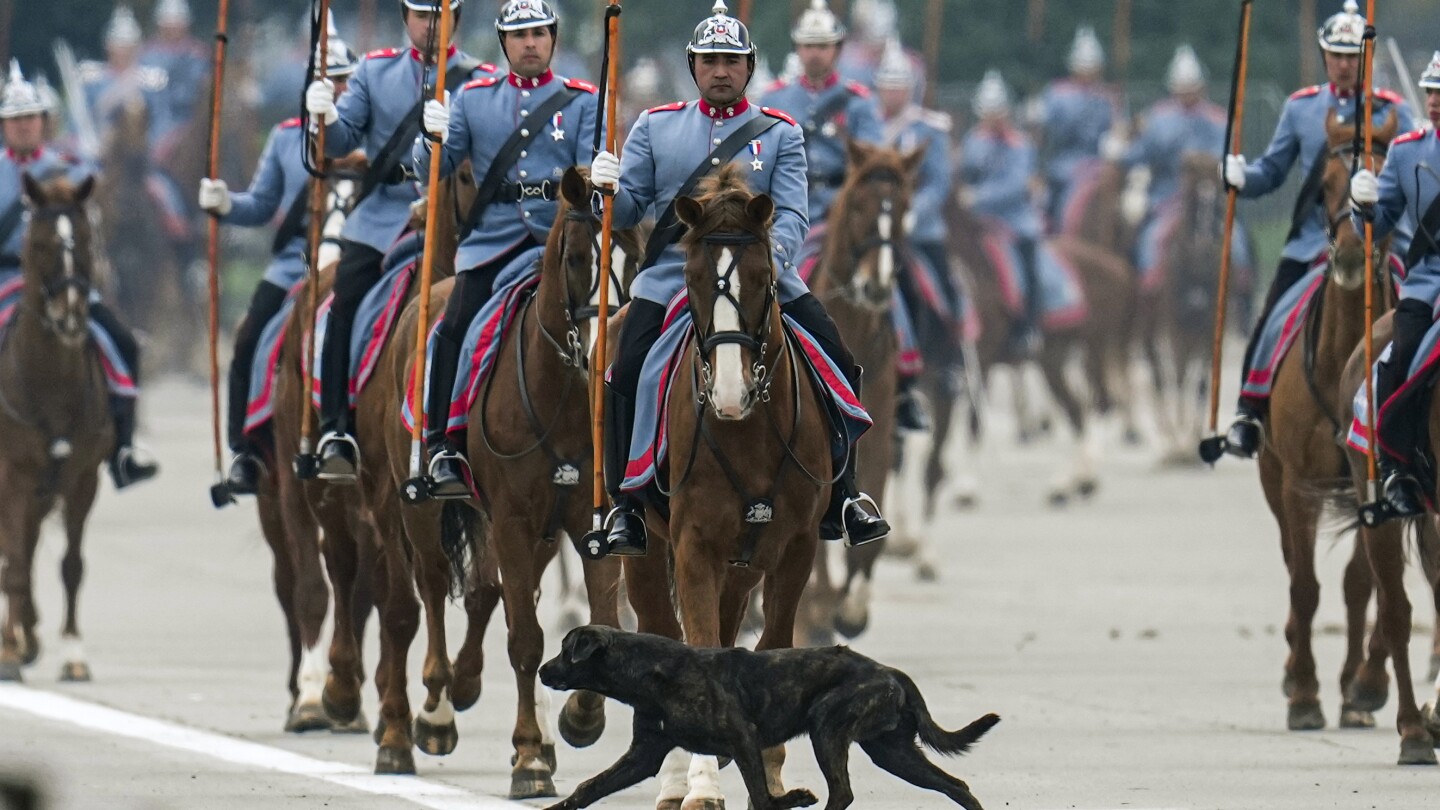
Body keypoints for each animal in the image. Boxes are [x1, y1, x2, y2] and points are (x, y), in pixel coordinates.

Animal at [535, 625, 996, 807]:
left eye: (566, 650)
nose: (540, 671)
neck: (651, 672)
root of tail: (890, 672)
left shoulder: (743, 740)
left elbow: (760, 796)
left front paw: (790, 800)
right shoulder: (642, 757)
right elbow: (589, 788)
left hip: (828, 728)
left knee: (842, 793)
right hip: (893, 753)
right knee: (955, 785)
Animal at [607, 165, 835, 807]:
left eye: (763, 277)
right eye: (691, 278)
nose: (730, 395)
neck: (748, 432)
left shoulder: (794, 548)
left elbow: (774, 641)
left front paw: (771, 769)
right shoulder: (693, 546)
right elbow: (696, 649)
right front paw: (702, 782)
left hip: (746, 561)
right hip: (648, 550)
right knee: (662, 631)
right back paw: (674, 775)